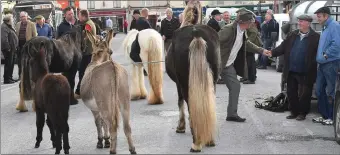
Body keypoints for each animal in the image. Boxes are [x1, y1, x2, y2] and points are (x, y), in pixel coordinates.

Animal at [165, 0, 220, 153]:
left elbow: (180, 102)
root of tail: (196, 34)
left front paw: (181, 126)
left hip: (185, 84)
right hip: (213, 81)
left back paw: (196, 143)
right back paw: (209, 139)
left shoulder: (178, 84)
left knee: (189, 103)